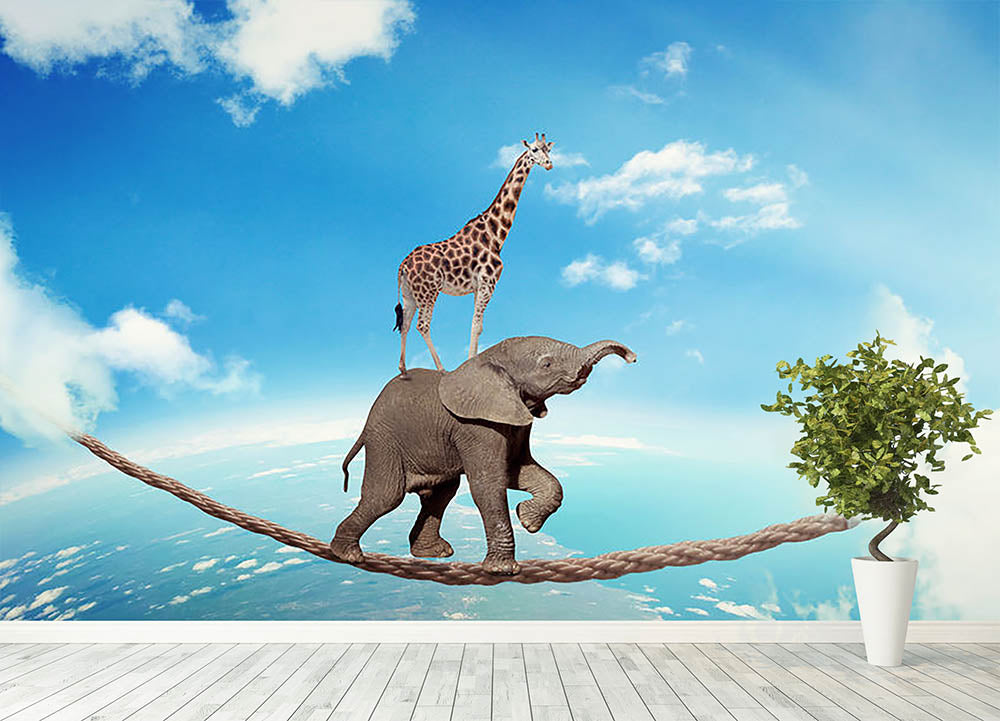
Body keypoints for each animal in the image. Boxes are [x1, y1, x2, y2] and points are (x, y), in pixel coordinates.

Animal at [329, 336, 637, 576]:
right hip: (385, 442)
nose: (633, 358)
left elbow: (518, 471)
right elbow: (488, 484)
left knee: (442, 494)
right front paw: (504, 569)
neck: (490, 359)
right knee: (386, 496)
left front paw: (528, 520)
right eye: (547, 364)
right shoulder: (476, 426)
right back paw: (346, 554)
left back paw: (434, 553)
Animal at [394, 133, 554, 374]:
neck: (496, 234)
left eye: (549, 150)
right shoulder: (488, 282)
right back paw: (441, 368)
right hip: (429, 291)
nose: (549, 164)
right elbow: (476, 325)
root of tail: (403, 264)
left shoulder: (478, 286)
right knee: (422, 325)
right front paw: (470, 363)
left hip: (410, 293)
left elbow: (477, 325)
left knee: (405, 323)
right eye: (534, 150)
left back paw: (403, 369)